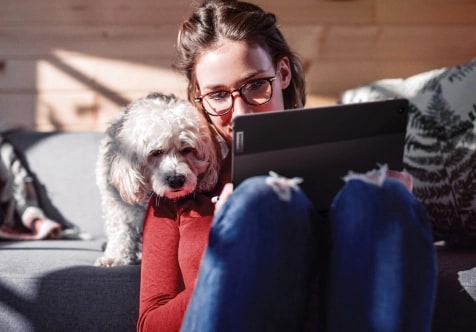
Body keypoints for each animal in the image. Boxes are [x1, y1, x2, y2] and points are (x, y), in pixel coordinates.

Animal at [95, 92, 221, 268]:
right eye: (156, 152)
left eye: (187, 149)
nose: (176, 180)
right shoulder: (117, 205)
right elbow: (120, 230)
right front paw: (115, 257)